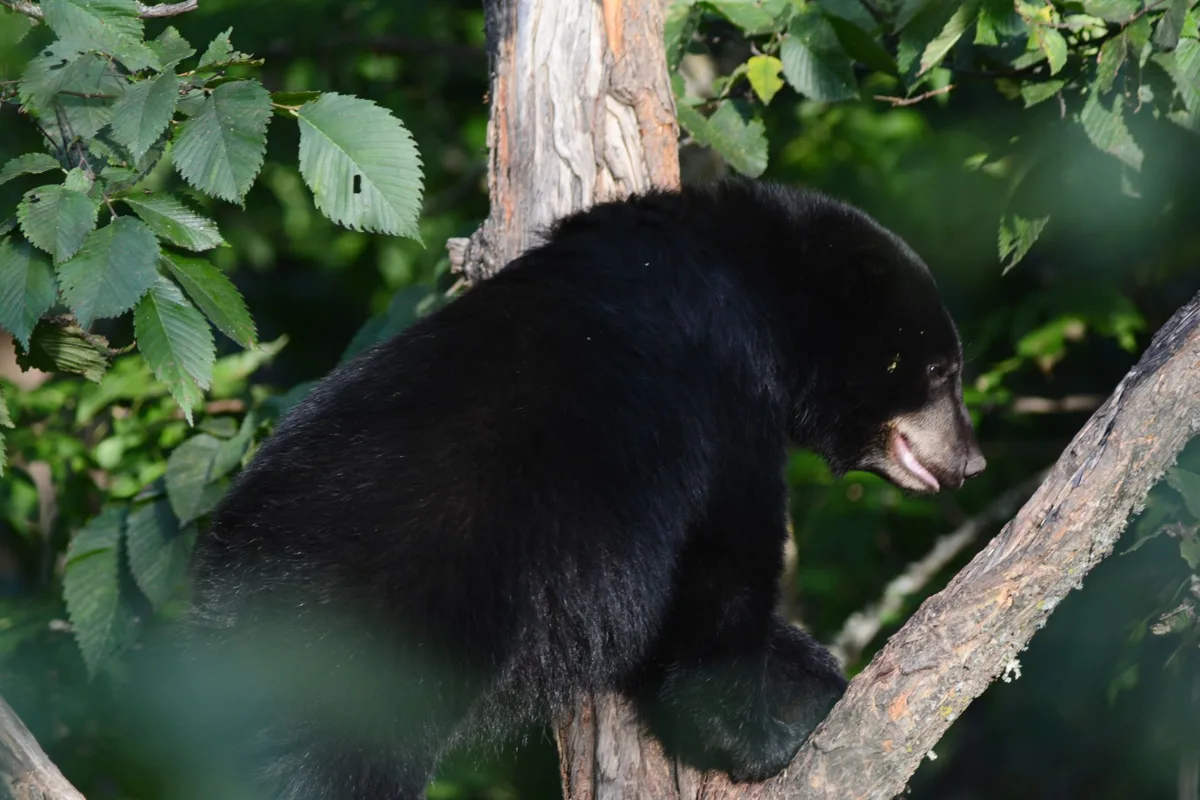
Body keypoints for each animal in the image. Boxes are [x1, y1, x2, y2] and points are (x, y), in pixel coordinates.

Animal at [184, 178, 986, 800]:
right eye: (941, 370)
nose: (973, 461)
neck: (752, 281)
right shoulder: (722, 396)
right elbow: (719, 573)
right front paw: (774, 726)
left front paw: (808, 670)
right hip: (365, 646)